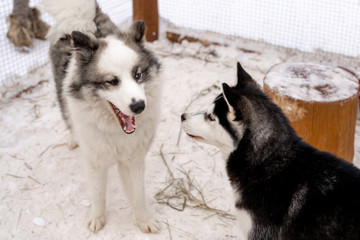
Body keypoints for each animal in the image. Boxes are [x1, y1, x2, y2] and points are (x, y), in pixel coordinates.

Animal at [42, 0, 162, 233]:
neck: (115, 132)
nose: (139, 106)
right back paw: (73, 139)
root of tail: (80, 19)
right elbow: (98, 195)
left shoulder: (133, 160)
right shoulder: (95, 162)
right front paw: (97, 219)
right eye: (112, 81)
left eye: (138, 75)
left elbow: (138, 196)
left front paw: (144, 221)